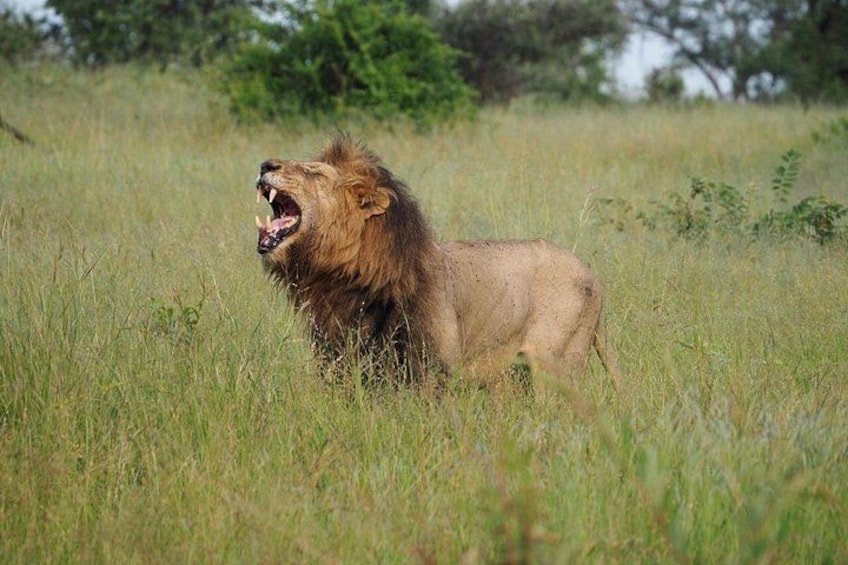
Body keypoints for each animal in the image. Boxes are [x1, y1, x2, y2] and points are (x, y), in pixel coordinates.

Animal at [253, 134, 622, 390]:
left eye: (314, 173)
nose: (265, 165)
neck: (343, 280)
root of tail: (592, 276)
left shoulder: (429, 368)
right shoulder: (343, 359)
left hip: (555, 363)